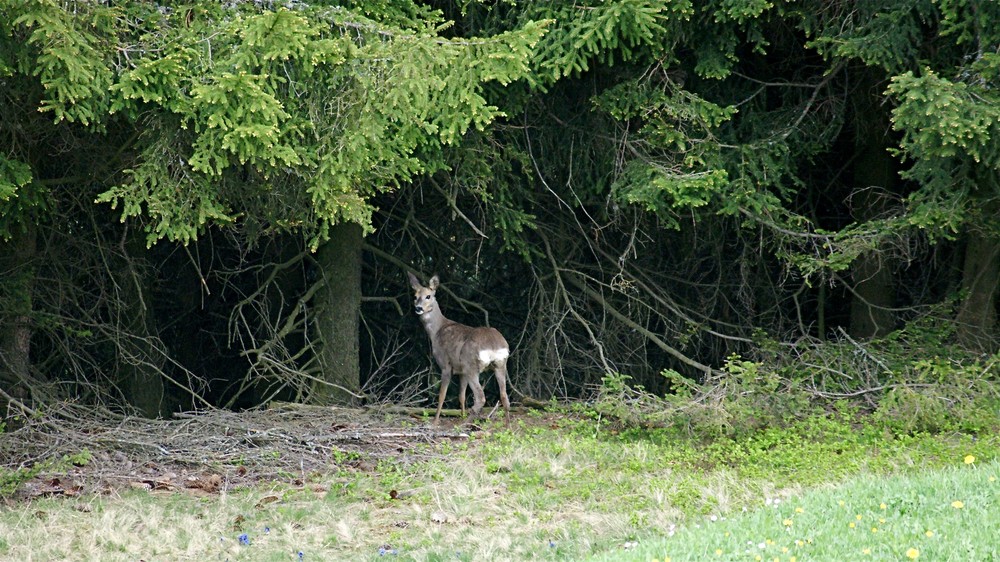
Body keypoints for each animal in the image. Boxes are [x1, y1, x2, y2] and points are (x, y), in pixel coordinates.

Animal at [408, 270, 512, 420]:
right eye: (415, 296)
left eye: (428, 296)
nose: (418, 308)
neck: (436, 331)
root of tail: (494, 346)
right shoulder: (461, 371)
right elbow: (461, 396)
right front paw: (461, 415)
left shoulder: (445, 364)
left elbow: (442, 395)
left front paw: (435, 421)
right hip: (500, 364)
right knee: (504, 397)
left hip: (471, 365)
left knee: (480, 397)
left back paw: (465, 422)